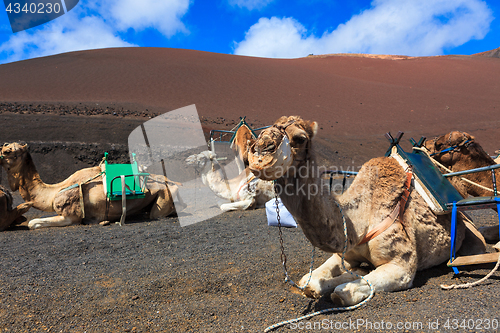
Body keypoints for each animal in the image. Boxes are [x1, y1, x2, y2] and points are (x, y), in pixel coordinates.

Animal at [0, 141, 185, 230]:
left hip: (165, 196)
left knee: (157, 214)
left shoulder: (70, 217)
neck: (55, 190)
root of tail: (175, 182)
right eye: (4, 147)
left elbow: (32, 223)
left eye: (8, 151)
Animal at [248, 115, 482, 304]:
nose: (260, 150)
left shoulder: (402, 267)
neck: (361, 220)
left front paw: (348, 279)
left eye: (299, 138)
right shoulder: (345, 253)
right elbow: (311, 281)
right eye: (265, 130)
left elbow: (343, 292)